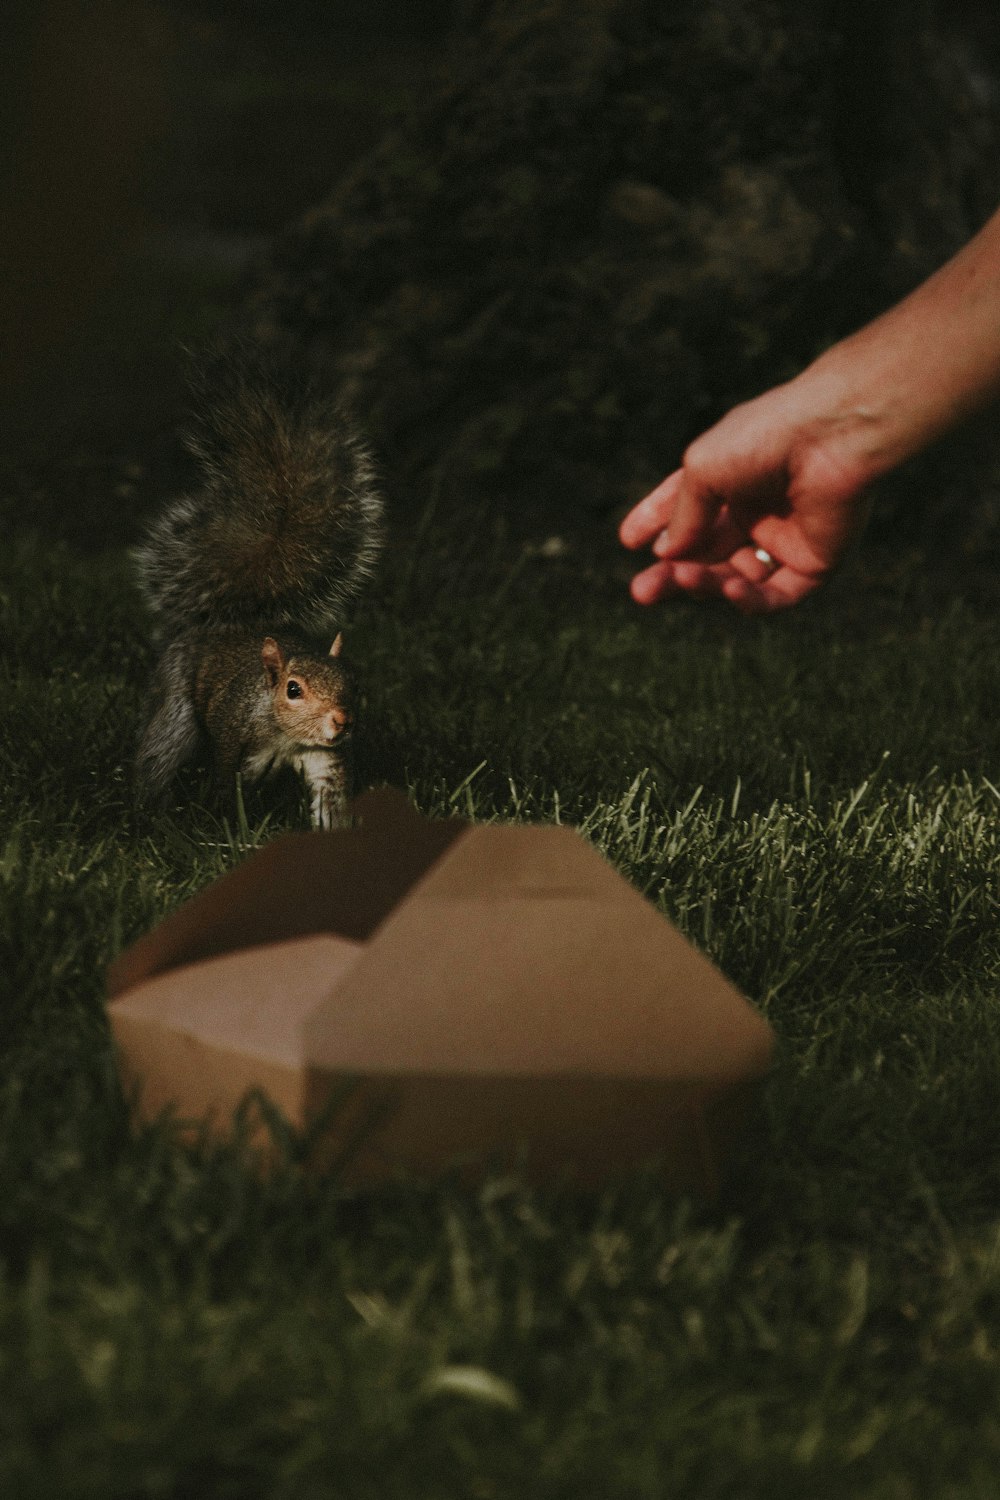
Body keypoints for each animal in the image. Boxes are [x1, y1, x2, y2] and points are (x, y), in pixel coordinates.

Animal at [132, 343, 383, 834]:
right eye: (293, 689)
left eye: (352, 680)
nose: (342, 720)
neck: (287, 736)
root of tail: (226, 622)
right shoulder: (237, 747)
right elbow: (227, 793)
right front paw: (225, 831)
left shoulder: (325, 761)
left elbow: (330, 805)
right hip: (175, 699)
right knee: (160, 750)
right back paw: (151, 808)